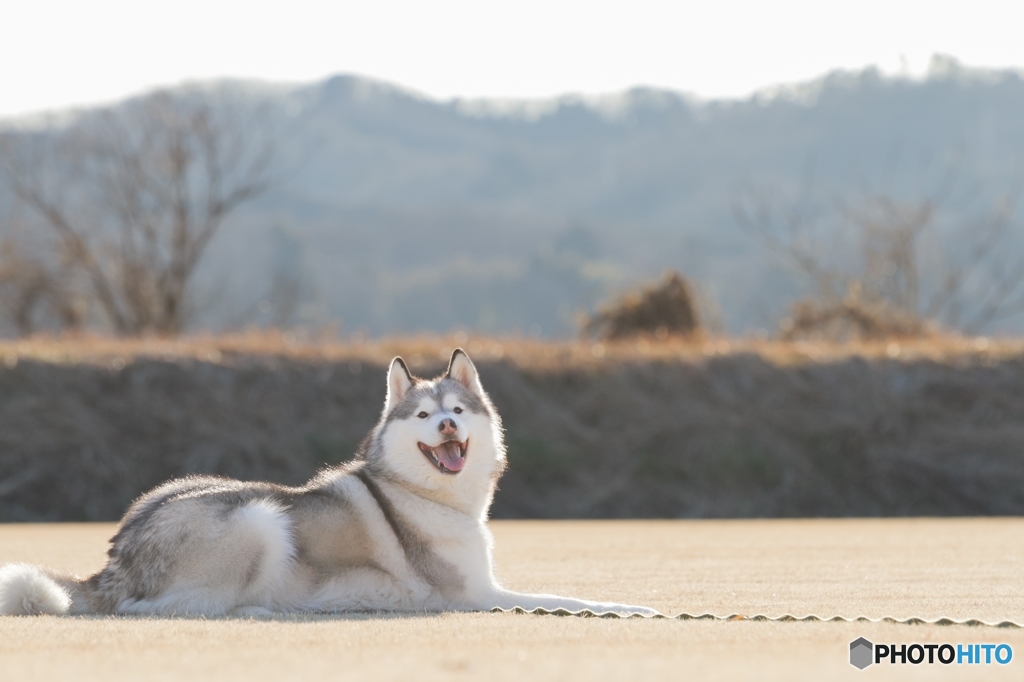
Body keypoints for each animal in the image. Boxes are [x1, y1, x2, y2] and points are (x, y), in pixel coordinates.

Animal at [0, 350, 655, 614]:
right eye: (423, 415)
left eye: (457, 411)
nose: (446, 423)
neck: (426, 496)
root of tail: (116, 556)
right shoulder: (476, 595)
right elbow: (571, 600)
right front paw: (631, 607)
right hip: (260, 517)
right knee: (158, 608)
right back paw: (261, 610)